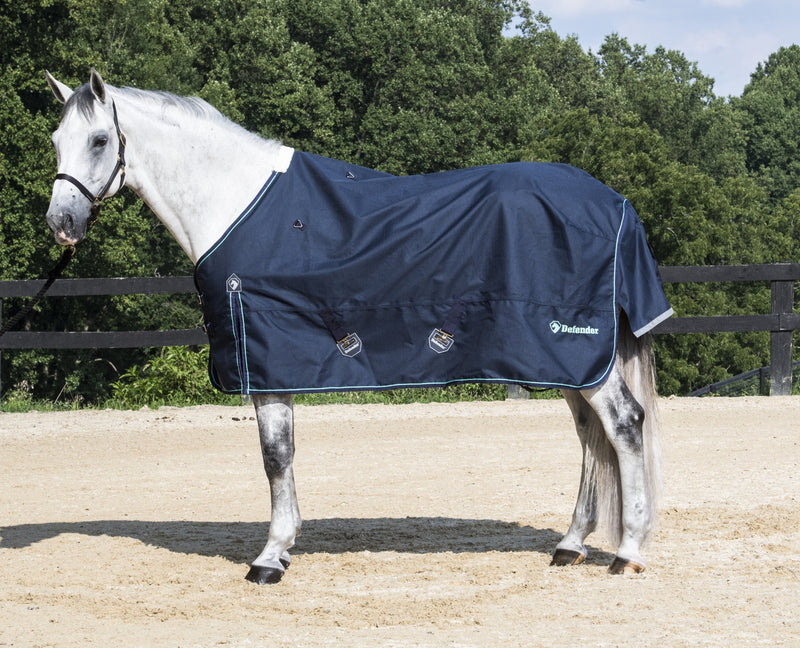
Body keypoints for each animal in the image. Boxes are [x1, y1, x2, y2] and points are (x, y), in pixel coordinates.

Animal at [44, 69, 668, 584]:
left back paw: (627, 552)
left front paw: (270, 557)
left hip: (576, 354)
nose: (61, 223)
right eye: (55, 140)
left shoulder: (268, 358)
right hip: (569, 361)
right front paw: (283, 547)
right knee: (590, 434)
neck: (235, 201)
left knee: (624, 424)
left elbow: (275, 457)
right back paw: (570, 545)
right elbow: (281, 457)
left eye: (99, 140)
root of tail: (615, 203)